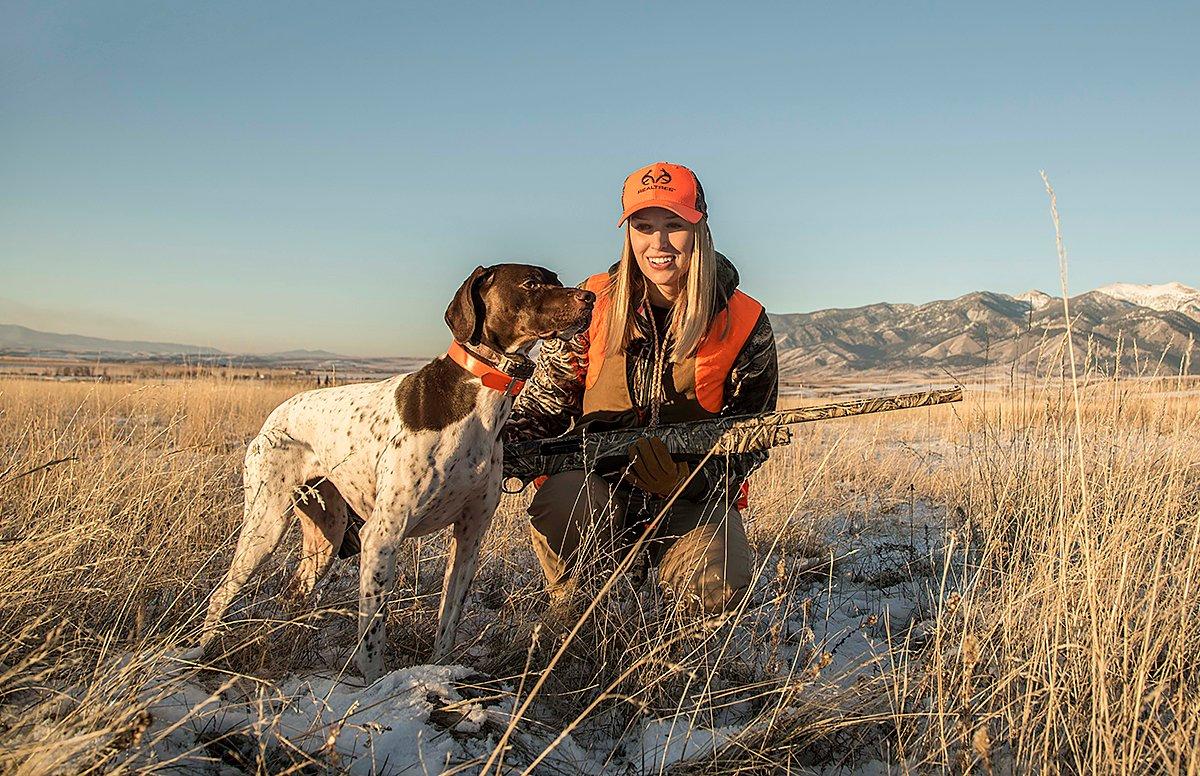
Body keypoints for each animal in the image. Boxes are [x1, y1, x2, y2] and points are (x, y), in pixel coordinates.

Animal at [198, 265, 595, 681]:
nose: (590, 299)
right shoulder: (382, 536)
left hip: (326, 534)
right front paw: (376, 685)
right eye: (531, 283)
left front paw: (441, 672)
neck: (480, 397)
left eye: (557, 279)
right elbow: (373, 636)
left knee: (294, 591)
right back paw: (203, 651)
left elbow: (448, 621)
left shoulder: (470, 536)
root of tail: (274, 416)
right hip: (267, 524)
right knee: (223, 592)